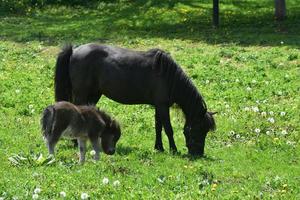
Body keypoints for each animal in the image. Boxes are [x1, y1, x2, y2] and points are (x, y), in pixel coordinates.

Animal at [54, 43, 216, 156]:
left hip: (93, 95)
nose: (198, 153)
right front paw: (174, 149)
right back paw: (75, 142)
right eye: (200, 129)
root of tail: (75, 50)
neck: (168, 76)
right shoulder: (163, 106)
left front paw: (159, 148)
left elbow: (158, 127)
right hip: (82, 94)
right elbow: (168, 129)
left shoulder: (158, 106)